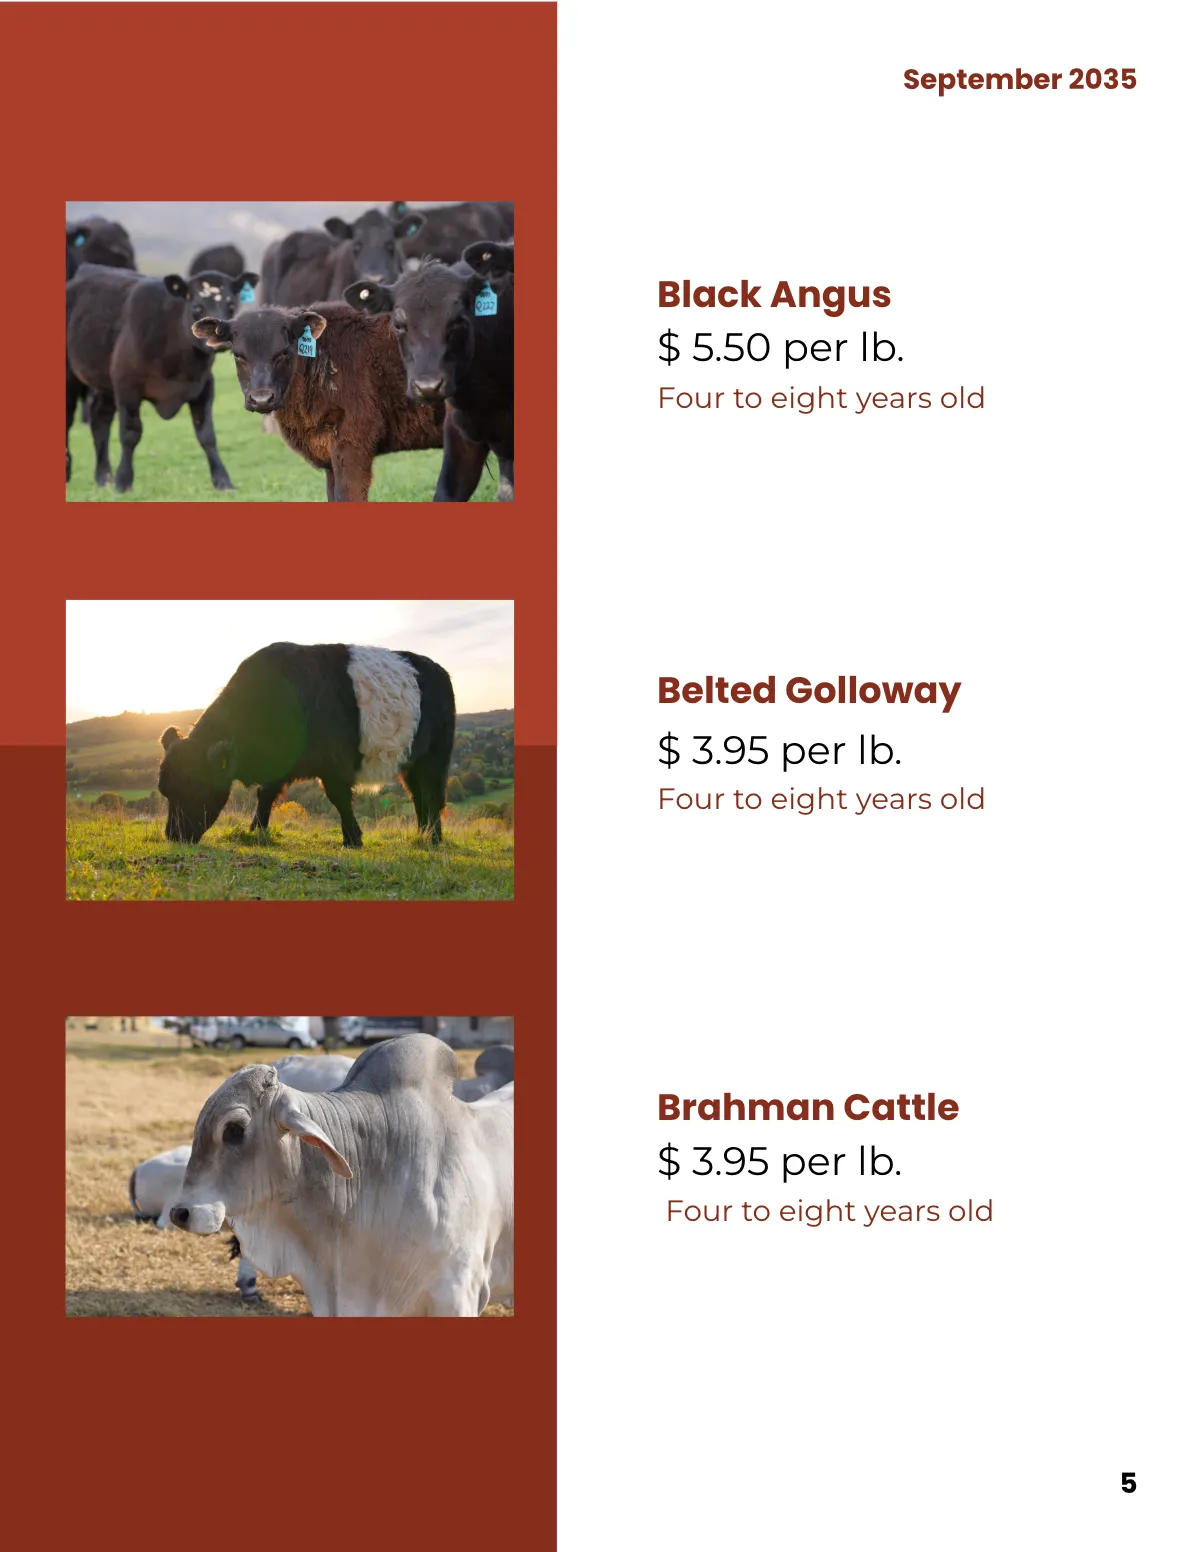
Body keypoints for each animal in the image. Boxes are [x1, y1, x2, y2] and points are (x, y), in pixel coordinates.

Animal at [66, 264, 258, 492]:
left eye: (231, 305)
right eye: (197, 306)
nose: (220, 338)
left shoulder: (204, 387)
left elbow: (207, 435)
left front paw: (222, 480)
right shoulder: (126, 387)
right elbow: (130, 433)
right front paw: (123, 481)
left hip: (106, 385)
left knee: (99, 419)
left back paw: (104, 477)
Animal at [157, 641, 456, 847]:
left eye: (196, 788)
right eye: (166, 791)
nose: (174, 836)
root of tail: (438, 669)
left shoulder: (334, 764)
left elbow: (339, 799)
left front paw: (352, 839)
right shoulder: (279, 764)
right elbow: (265, 794)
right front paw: (257, 831)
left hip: (435, 756)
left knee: (432, 794)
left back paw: (434, 839)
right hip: (412, 762)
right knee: (418, 796)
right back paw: (424, 834)